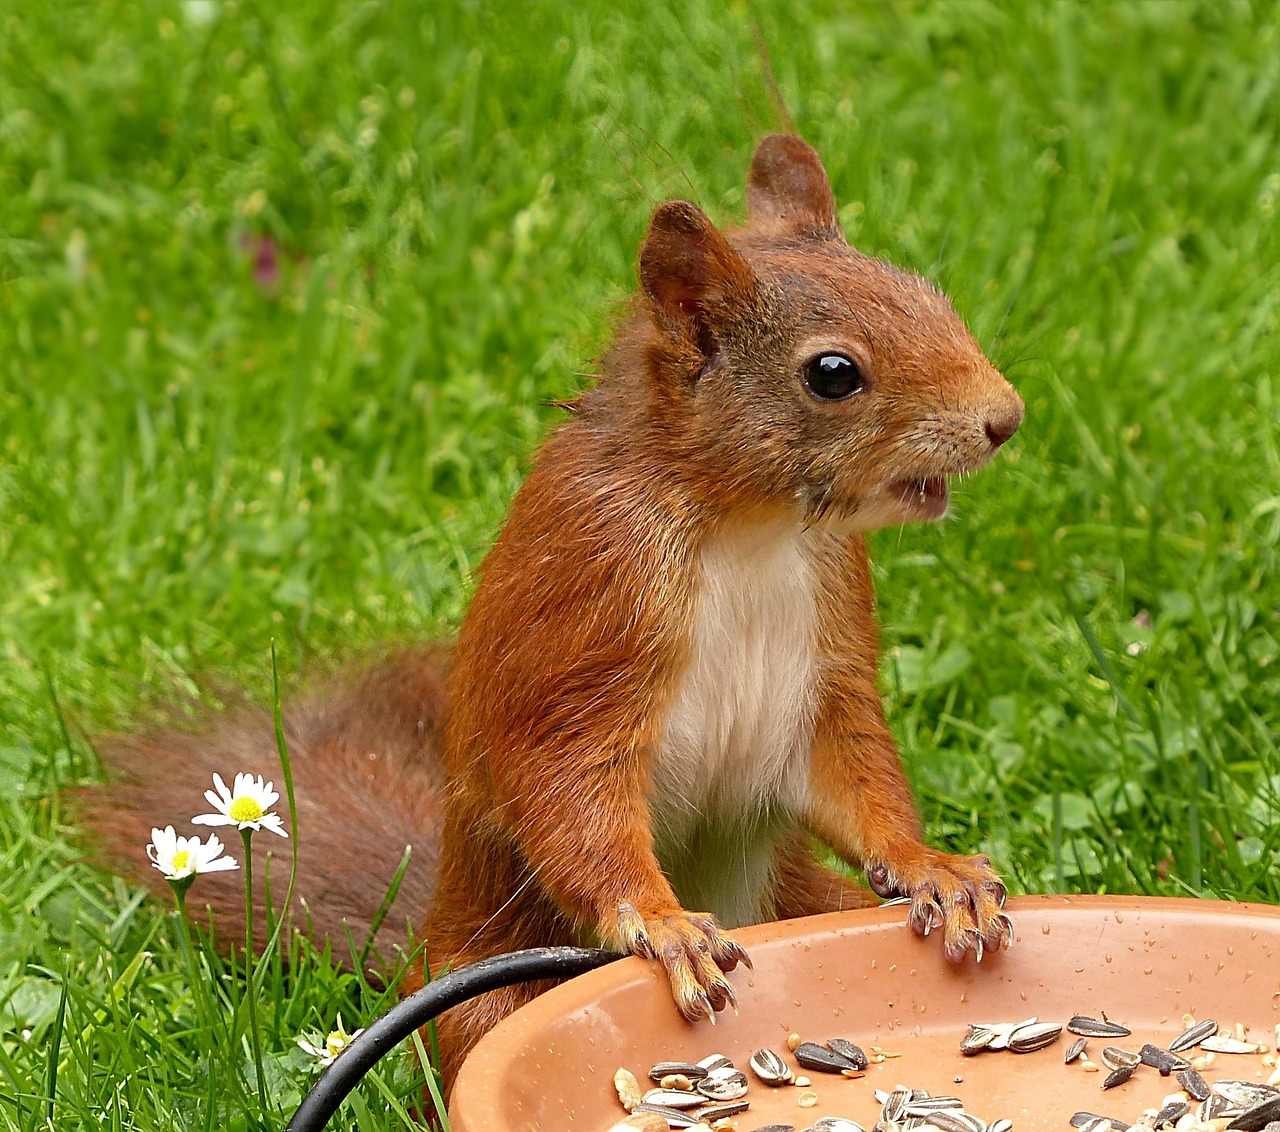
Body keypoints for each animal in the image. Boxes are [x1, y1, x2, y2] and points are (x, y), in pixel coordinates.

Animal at [85, 135, 1024, 1096]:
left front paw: (934, 869)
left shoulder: (829, 634)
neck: (745, 524)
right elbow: (567, 786)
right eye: (833, 374)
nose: (1005, 418)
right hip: (488, 994)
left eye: (928, 293)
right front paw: (663, 925)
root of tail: (430, 942)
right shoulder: (591, 604)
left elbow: (850, 767)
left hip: (797, 898)